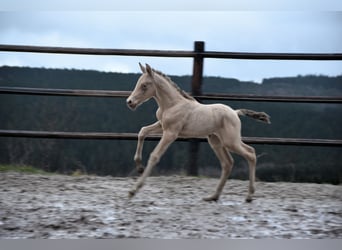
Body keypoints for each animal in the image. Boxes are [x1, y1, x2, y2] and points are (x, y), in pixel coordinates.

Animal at [125, 63, 270, 202]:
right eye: (138, 83)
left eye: (144, 85)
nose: (130, 102)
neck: (172, 104)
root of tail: (235, 112)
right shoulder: (161, 126)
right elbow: (142, 132)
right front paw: (139, 167)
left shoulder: (171, 133)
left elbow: (154, 155)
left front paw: (133, 191)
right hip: (216, 141)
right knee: (228, 163)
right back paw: (213, 196)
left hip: (230, 141)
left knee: (250, 153)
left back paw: (249, 196)